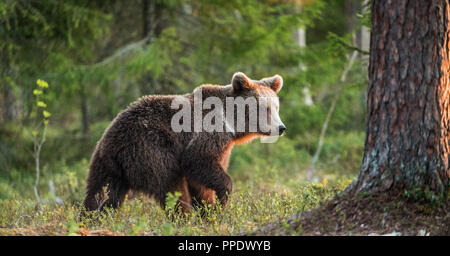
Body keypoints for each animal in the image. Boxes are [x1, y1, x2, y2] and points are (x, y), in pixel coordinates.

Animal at [84, 71, 286, 212]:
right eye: (265, 108)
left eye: (276, 107)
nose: (281, 128)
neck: (231, 123)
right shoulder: (208, 133)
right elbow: (198, 160)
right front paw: (220, 201)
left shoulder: (225, 146)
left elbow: (201, 183)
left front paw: (208, 210)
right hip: (151, 150)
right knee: (172, 188)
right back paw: (182, 218)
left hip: (104, 163)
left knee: (100, 195)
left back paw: (92, 217)